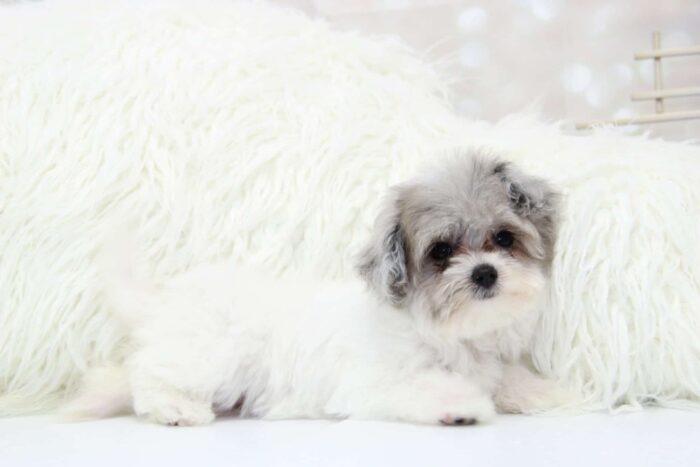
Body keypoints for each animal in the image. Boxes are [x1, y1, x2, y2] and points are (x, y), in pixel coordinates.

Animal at [65, 154, 568, 428]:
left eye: (503, 238)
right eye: (442, 251)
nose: (485, 273)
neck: (445, 334)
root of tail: (165, 299)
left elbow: (502, 376)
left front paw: (540, 391)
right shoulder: (375, 383)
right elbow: (427, 386)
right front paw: (461, 405)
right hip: (209, 354)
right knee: (145, 375)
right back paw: (174, 408)